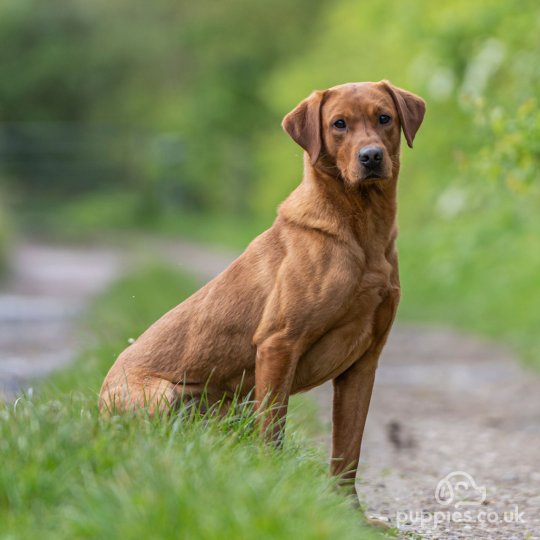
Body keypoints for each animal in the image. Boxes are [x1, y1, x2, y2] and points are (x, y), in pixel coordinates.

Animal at [99, 81, 424, 502]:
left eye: (384, 117)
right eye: (339, 124)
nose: (371, 156)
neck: (363, 230)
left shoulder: (364, 362)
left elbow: (348, 450)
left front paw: (348, 511)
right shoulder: (277, 345)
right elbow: (273, 435)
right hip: (165, 397)